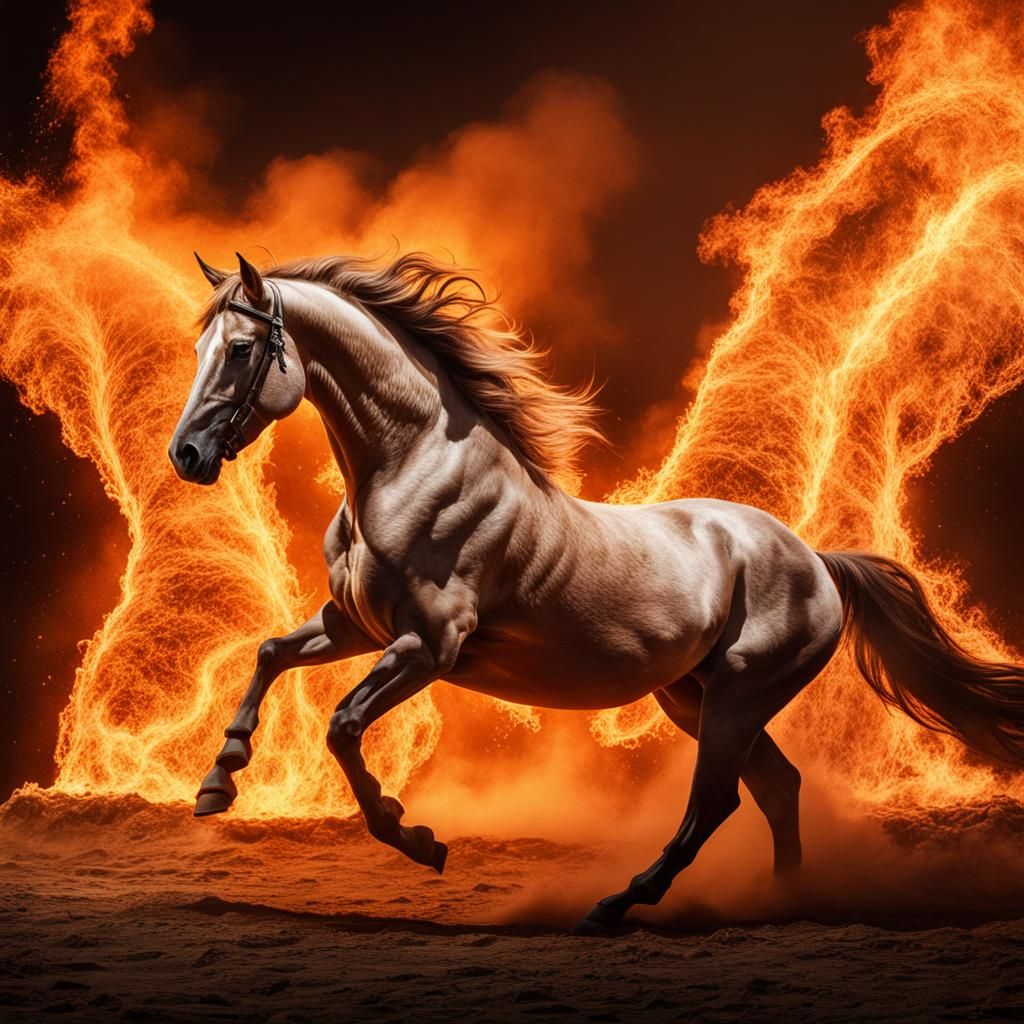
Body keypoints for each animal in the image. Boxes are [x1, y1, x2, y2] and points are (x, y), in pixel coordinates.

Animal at [169, 250, 1024, 934]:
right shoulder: (355, 627)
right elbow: (269, 652)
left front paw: (420, 840)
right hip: (693, 696)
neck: (412, 472)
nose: (186, 456)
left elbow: (343, 727)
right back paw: (782, 901)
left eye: (240, 349)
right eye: (200, 348)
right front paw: (216, 783)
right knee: (778, 788)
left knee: (716, 801)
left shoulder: (427, 647)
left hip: (739, 694)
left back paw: (615, 905)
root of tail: (815, 557)